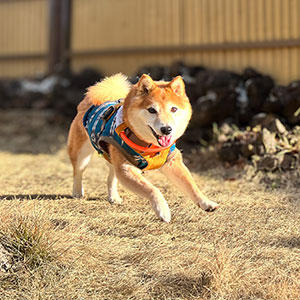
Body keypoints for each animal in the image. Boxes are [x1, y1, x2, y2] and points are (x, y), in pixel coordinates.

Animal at [67, 73, 218, 221]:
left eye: (174, 109)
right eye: (152, 110)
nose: (166, 129)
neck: (148, 145)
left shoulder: (172, 162)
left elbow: (191, 185)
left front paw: (206, 203)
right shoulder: (126, 168)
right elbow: (152, 189)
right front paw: (163, 210)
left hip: (112, 159)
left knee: (111, 177)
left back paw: (113, 197)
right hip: (82, 154)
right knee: (78, 172)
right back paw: (77, 192)